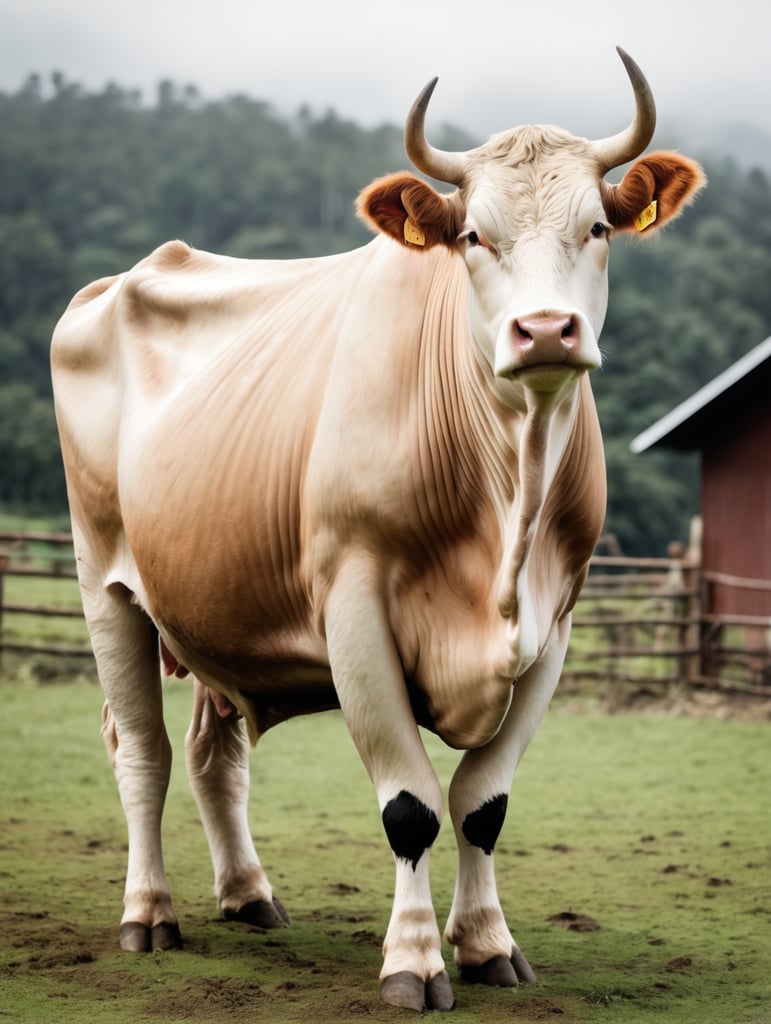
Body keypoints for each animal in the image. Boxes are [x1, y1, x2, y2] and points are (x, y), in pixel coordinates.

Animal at [51, 48, 704, 1012]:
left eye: (597, 227)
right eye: (472, 237)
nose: (546, 330)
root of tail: (121, 279)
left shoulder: (555, 628)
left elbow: (481, 804)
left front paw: (487, 944)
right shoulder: (354, 611)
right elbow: (411, 806)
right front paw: (414, 960)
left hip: (213, 607)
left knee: (213, 755)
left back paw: (248, 894)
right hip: (107, 582)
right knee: (143, 753)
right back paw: (148, 912)